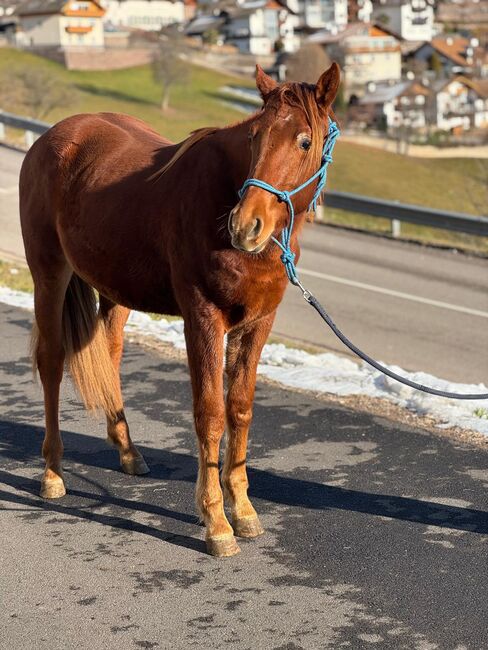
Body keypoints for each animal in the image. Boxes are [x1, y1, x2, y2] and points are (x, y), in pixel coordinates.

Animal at [19, 63, 340, 556]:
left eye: (304, 141)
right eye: (255, 136)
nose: (246, 225)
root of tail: (52, 136)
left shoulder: (258, 324)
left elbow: (239, 409)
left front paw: (243, 510)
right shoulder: (203, 319)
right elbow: (209, 413)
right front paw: (216, 522)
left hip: (114, 290)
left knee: (109, 354)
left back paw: (128, 452)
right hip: (49, 275)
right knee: (52, 362)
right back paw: (53, 473)